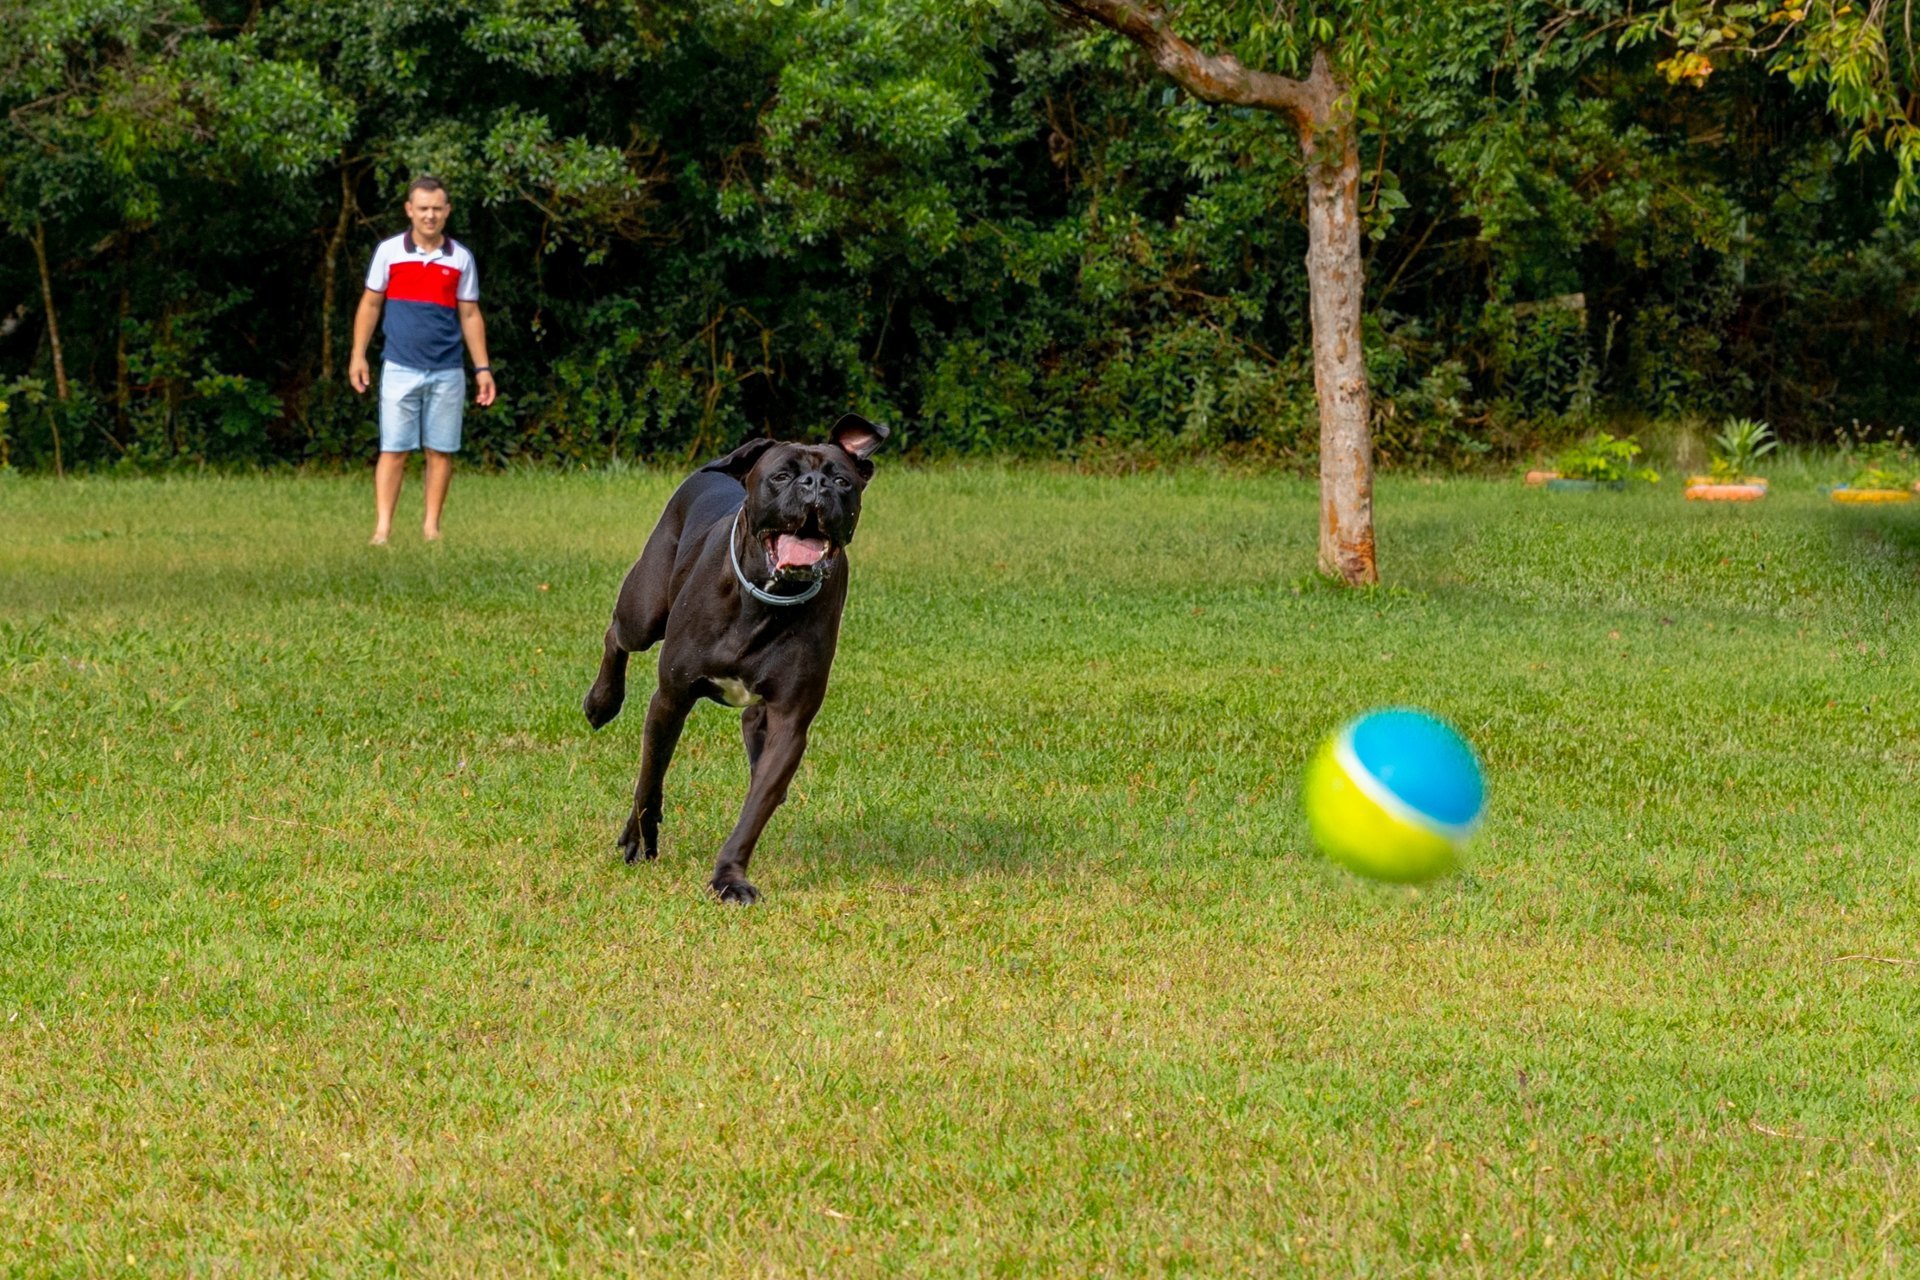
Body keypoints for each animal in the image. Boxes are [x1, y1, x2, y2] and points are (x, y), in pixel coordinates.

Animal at [579, 418, 887, 901]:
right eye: (781, 475)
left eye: (842, 481)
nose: (815, 485)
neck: (765, 600)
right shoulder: (671, 698)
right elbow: (650, 778)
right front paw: (640, 839)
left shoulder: (790, 722)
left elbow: (754, 810)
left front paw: (729, 878)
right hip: (644, 608)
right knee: (618, 634)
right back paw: (601, 702)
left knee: (750, 723)